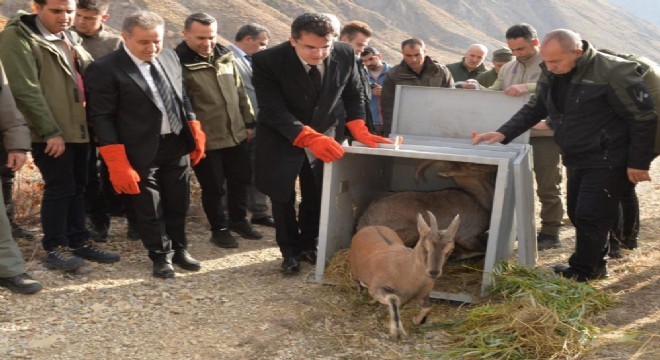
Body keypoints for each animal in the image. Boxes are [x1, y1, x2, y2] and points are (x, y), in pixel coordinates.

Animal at [358, 160, 492, 258]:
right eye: (473, 165)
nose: (491, 168)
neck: (475, 197)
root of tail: (365, 223)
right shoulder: (467, 236)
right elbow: (483, 250)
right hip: (412, 232)